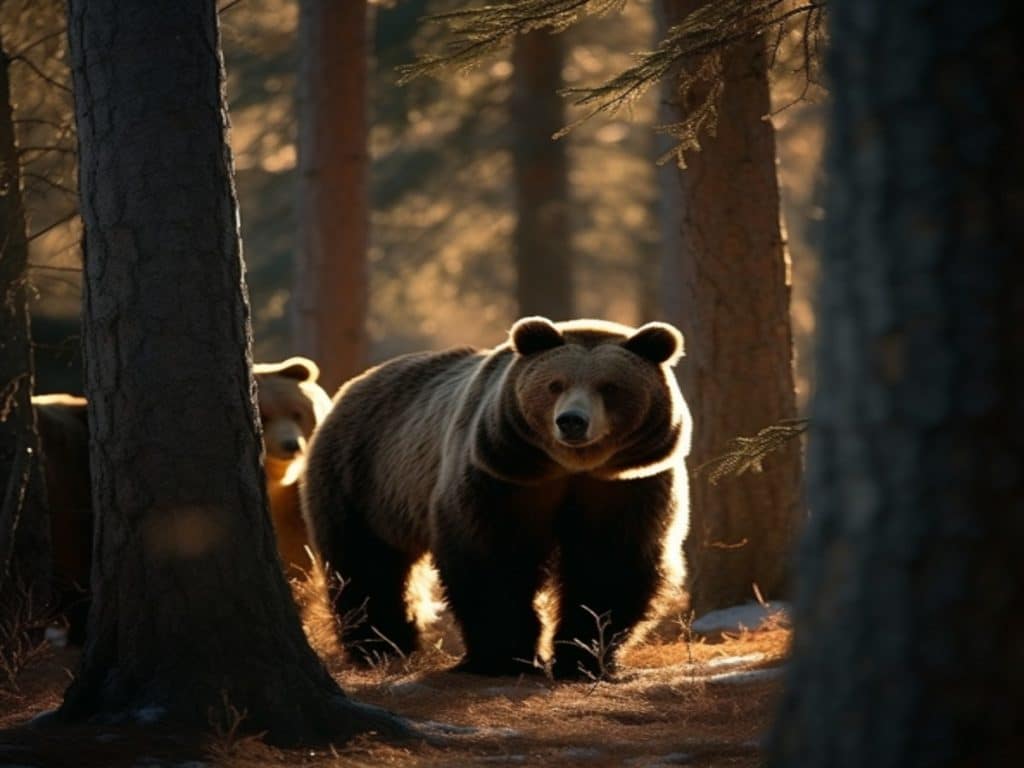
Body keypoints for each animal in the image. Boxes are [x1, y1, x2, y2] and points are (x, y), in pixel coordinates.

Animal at [302, 317, 690, 679]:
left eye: (610, 387)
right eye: (555, 384)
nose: (572, 421)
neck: (569, 468)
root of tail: (354, 383)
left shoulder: (625, 486)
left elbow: (609, 565)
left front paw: (582, 657)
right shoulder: (502, 478)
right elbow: (492, 559)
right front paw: (506, 656)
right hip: (364, 478)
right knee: (365, 564)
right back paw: (381, 646)